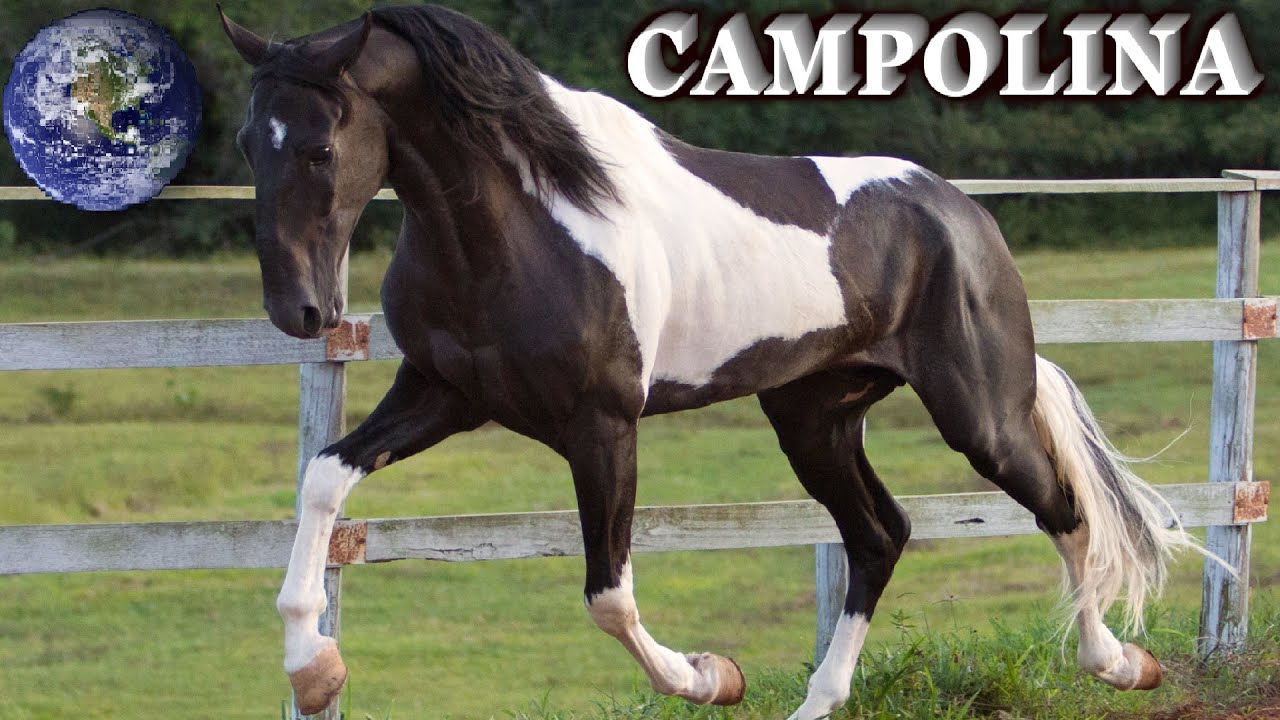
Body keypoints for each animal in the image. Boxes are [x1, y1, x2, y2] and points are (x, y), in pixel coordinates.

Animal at [219, 6, 1199, 718]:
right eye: (246, 144)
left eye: (320, 146)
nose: (300, 310)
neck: (525, 222)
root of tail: (961, 212)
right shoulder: (446, 393)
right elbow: (323, 475)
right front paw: (313, 667)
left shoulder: (602, 424)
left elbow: (608, 594)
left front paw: (709, 675)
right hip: (814, 417)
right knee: (880, 535)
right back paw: (818, 703)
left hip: (977, 414)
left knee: (1062, 507)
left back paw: (1123, 664)